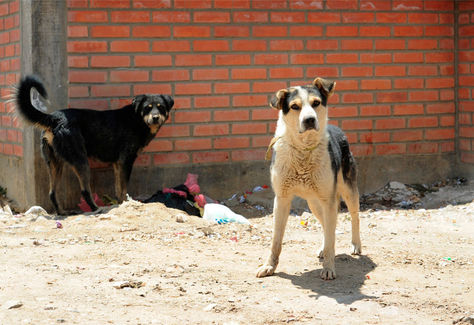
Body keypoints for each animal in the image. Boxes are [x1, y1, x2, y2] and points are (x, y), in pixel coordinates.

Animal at [14, 74, 174, 214]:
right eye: (148, 107)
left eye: (161, 107)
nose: (155, 118)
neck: (137, 118)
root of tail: (55, 117)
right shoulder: (126, 161)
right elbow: (123, 189)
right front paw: (125, 204)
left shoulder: (117, 164)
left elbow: (118, 189)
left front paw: (120, 204)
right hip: (80, 160)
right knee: (85, 190)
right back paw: (96, 208)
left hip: (55, 163)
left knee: (52, 192)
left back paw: (62, 212)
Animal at [258, 76, 362, 278]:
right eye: (294, 106)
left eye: (316, 103)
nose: (310, 120)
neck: (303, 151)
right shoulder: (281, 199)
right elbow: (276, 240)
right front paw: (269, 266)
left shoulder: (329, 199)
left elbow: (331, 239)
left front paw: (328, 268)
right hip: (314, 203)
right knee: (325, 226)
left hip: (347, 191)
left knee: (354, 217)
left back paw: (356, 245)